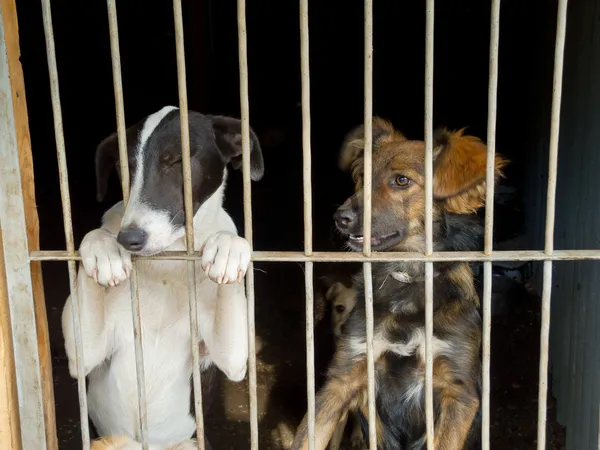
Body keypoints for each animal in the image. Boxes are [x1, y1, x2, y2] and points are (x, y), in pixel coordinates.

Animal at [62, 106, 264, 450]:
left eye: (177, 161)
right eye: (124, 167)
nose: (129, 239)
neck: (167, 261)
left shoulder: (232, 357)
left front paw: (228, 248)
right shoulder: (85, 353)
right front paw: (102, 248)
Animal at [290, 118, 506, 448]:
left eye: (401, 181)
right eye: (363, 177)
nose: (340, 218)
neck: (408, 279)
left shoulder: (459, 391)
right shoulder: (344, 376)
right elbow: (306, 437)